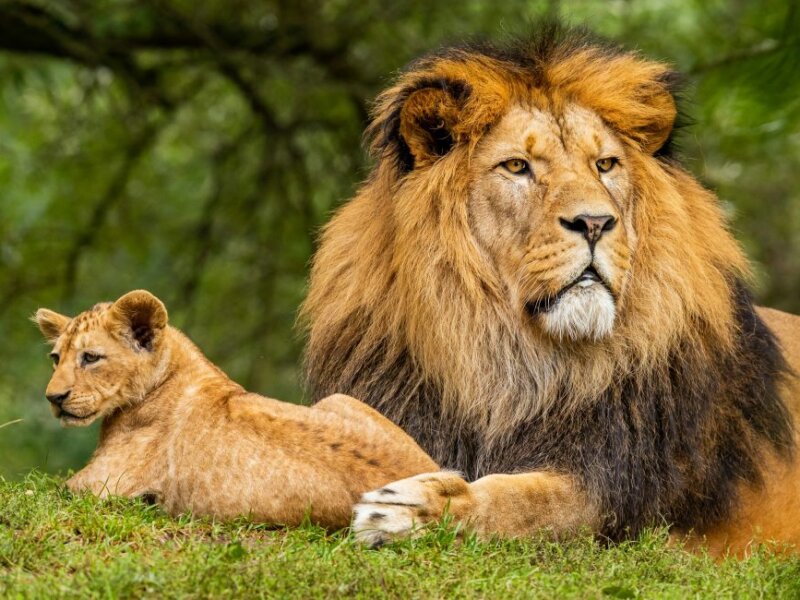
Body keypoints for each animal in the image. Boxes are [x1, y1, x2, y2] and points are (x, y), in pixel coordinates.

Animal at [34, 290, 437, 528]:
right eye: (55, 358)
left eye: (90, 357)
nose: (53, 397)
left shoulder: (98, 485)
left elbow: (41, 493)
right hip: (338, 398)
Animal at [301, 25, 800, 556]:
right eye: (517, 166)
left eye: (605, 164)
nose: (596, 223)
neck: (516, 363)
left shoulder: (619, 490)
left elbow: (525, 501)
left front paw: (415, 509)